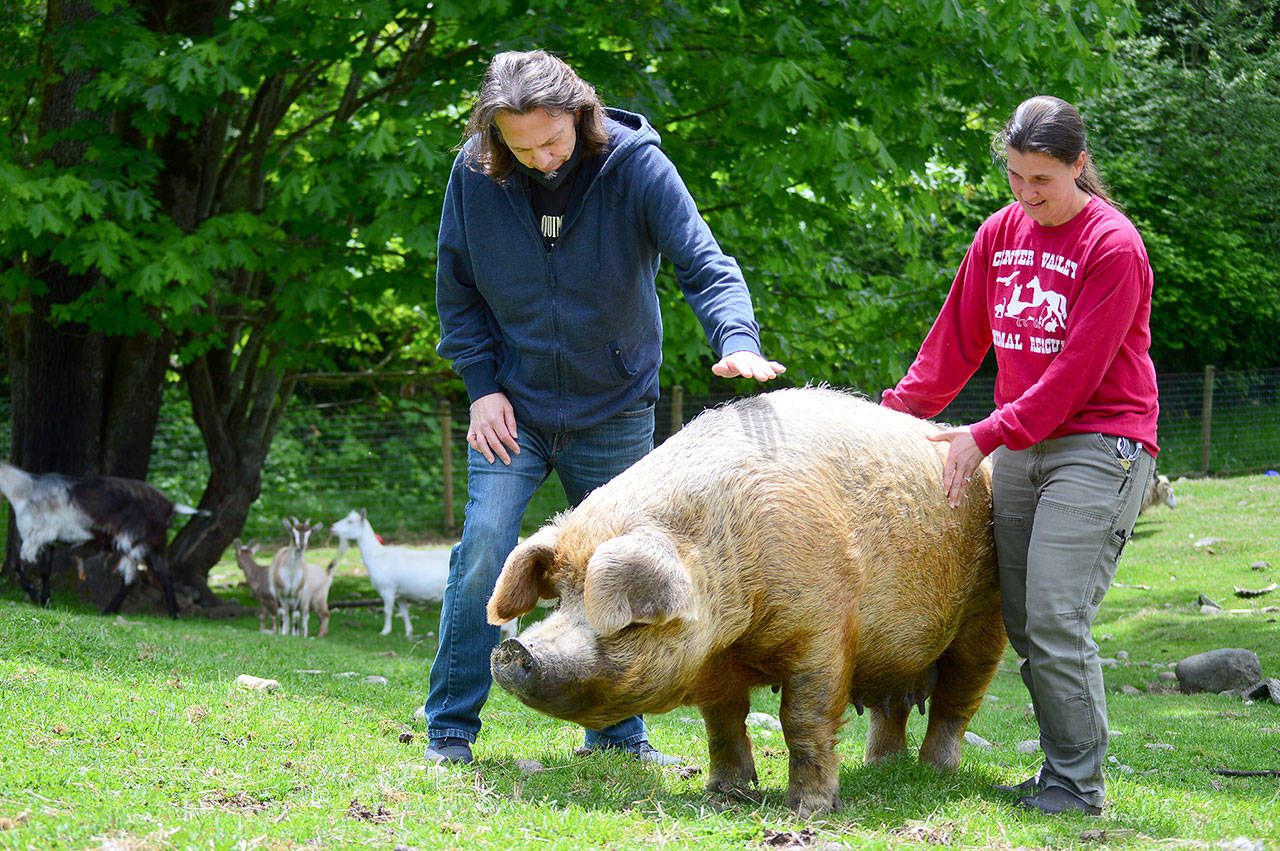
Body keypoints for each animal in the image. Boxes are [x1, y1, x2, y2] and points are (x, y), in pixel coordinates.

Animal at [486, 386, 1005, 815]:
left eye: (627, 622)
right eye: (560, 597)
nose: (515, 647)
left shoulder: (826, 631)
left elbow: (803, 719)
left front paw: (809, 812)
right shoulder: (713, 664)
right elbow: (721, 723)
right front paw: (725, 794)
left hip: (985, 616)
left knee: (957, 700)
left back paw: (936, 772)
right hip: (893, 652)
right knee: (891, 706)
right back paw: (883, 768)